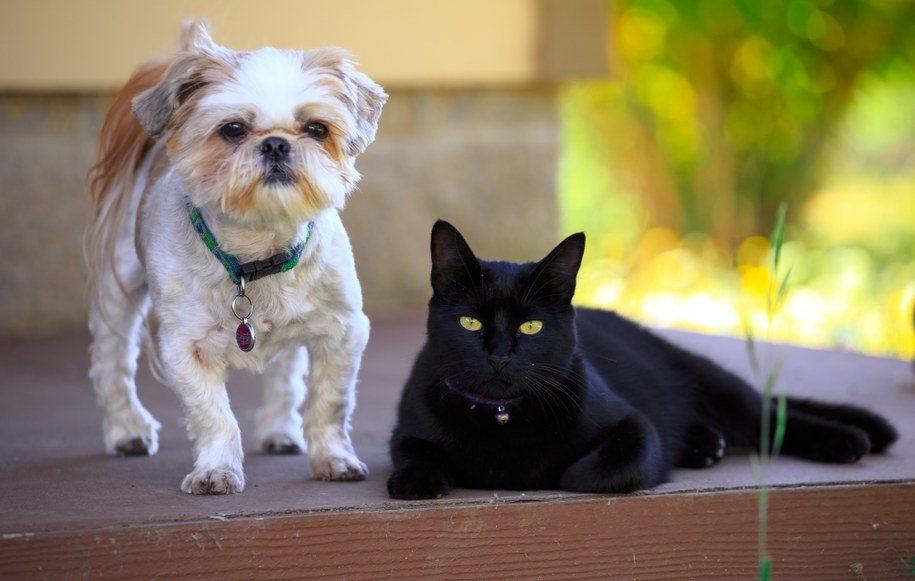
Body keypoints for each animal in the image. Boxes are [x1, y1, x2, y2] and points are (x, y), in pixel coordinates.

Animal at [86, 22, 386, 494]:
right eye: (232, 129)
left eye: (317, 129)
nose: (277, 144)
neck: (257, 254)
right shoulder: (184, 347)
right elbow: (214, 416)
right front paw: (216, 469)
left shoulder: (341, 331)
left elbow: (328, 404)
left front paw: (333, 458)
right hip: (117, 290)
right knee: (112, 360)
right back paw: (126, 429)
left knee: (285, 372)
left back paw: (280, 429)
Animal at [384, 222, 896, 498]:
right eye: (470, 323)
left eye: (531, 327)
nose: (499, 356)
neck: (502, 419)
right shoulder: (407, 428)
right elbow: (412, 455)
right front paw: (417, 481)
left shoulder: (633, 425)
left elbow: (592, 472)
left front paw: (551, 474)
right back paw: (704, 444)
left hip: (718, 386)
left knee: (771, 417)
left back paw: (847, 440)